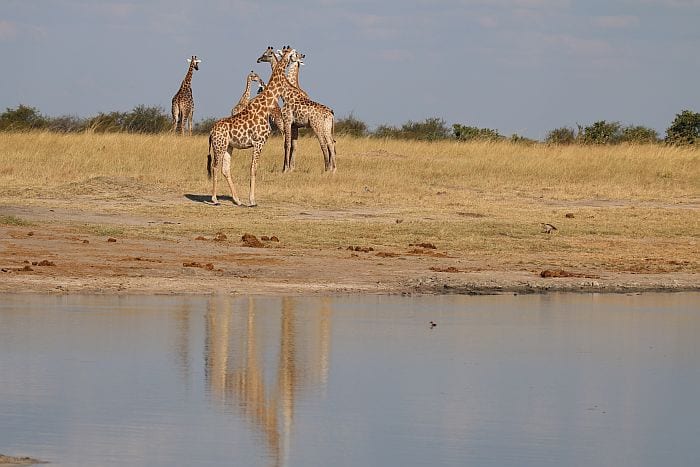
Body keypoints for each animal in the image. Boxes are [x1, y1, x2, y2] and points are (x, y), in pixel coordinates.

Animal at [206, 47, 296, 207]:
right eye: (293, 54)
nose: (301, 57)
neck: (266, 105)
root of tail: (211, 131)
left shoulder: (257, 143)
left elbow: (252, 169)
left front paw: (248, 199)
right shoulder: (259, 142)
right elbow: (253, 169)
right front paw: (252, 200)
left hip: (229, 146)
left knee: (225, 169)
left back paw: (237, 200)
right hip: (219, 146)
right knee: (215, 167)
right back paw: (215, 199)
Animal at [258, 46, 336, 174]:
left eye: (267, 54)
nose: (258, 59)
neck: (286, 93)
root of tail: (330, 113)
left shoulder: (287, 121)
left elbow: (287, 144)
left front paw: (286, 169)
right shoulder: (295, 125)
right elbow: (294, 146)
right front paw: (290, 168)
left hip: (316, 126)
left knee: (323, 144)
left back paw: (326, 168)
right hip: (327, 127)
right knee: (331, 143)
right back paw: (333, 169)